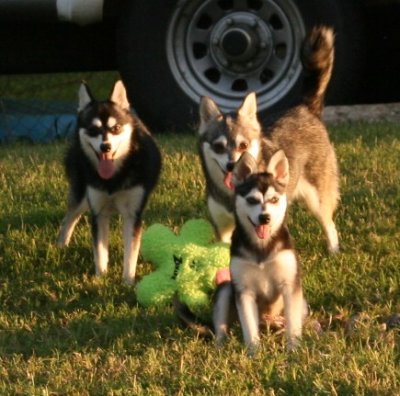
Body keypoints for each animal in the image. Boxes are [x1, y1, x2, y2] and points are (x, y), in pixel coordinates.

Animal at [57, 80, 161, 284]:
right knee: (70, 217)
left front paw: (128, 281)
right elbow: (100, 252)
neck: (114, 178)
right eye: (93, 130)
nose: (105, 146)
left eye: (116, 128)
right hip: (81, 195)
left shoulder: (132, 215)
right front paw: (100, 279)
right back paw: (61, 246)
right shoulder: (98, 213)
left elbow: (130, 253)